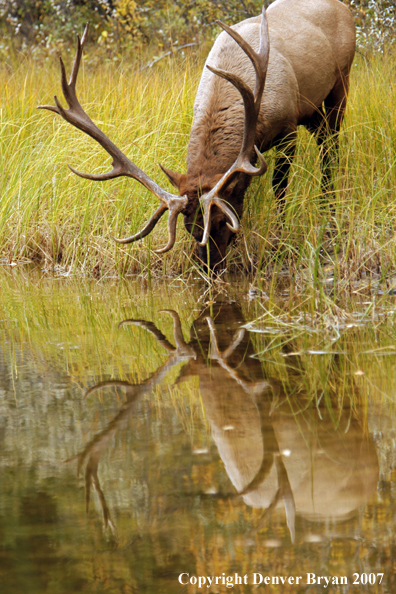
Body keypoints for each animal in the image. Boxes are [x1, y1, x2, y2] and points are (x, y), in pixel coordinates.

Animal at [39, 0, 356, 270]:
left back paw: (329, 208)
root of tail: (344, 7)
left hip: (339, 85)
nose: (208, 266)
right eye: (189, 228)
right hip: (314, 112)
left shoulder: (288, 126)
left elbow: (279, 188)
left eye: (221, 222)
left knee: (331, 148)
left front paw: (277, 239)